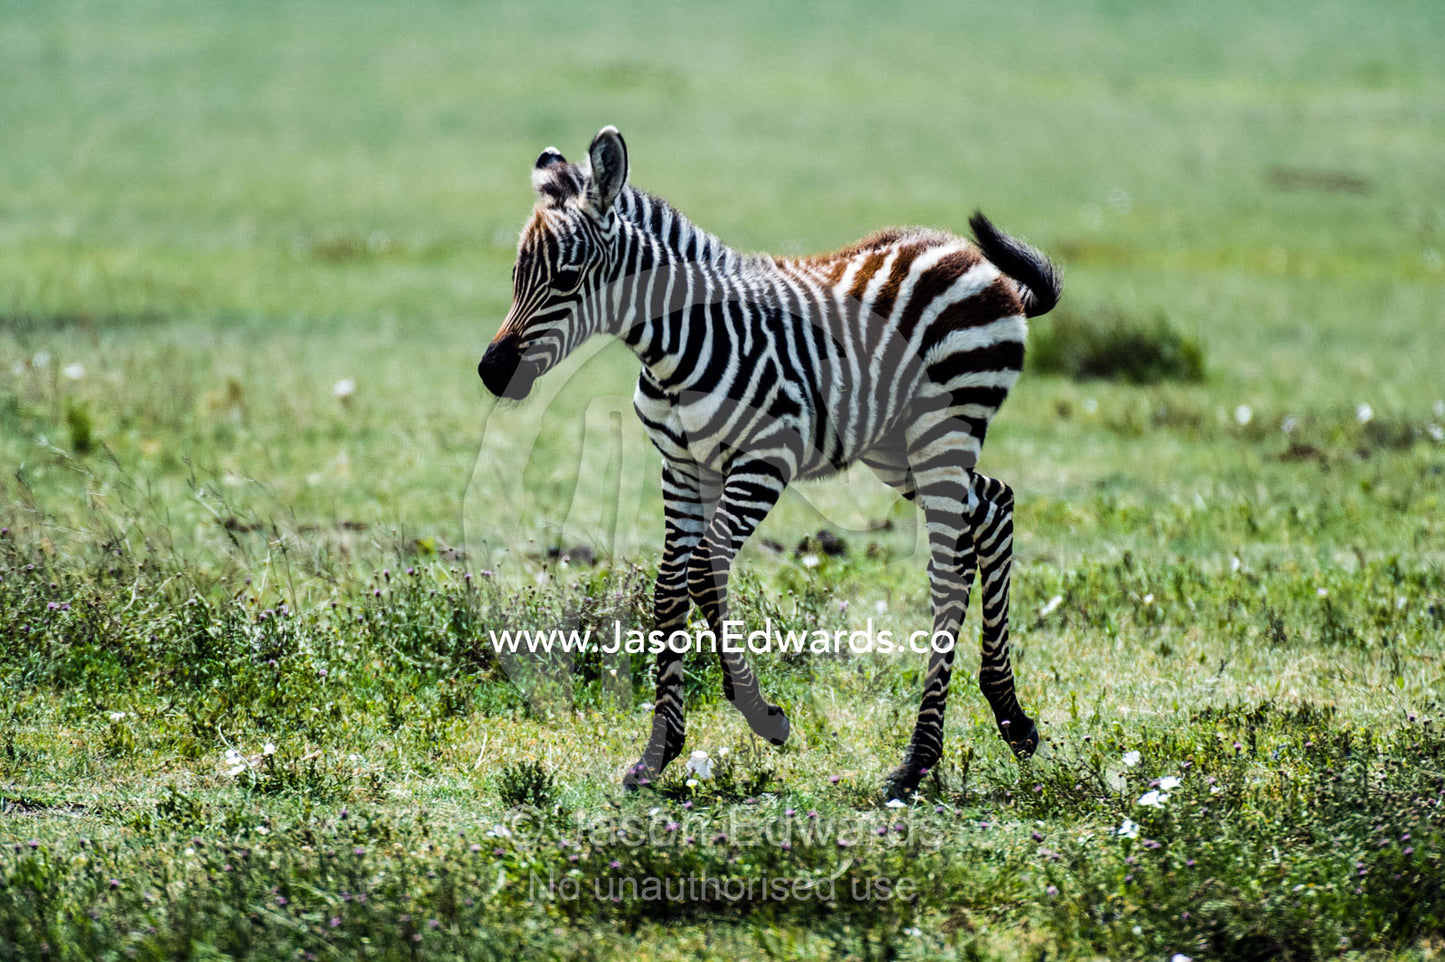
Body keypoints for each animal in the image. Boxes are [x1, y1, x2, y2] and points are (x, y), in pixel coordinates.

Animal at [478, 126, 1062, 800]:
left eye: (569, 277)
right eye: (516, 274)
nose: (492, 372)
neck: (675, 345)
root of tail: (973, 258)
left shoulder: (763, 463)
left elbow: (703, 574)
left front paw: (763, 717)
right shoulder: (682, 468)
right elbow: (668, 590)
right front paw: (657, 754)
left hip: (944, 428)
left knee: (950, 568)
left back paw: (917, 761)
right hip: (898, 446)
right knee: (994, 507)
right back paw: (1012, 718)